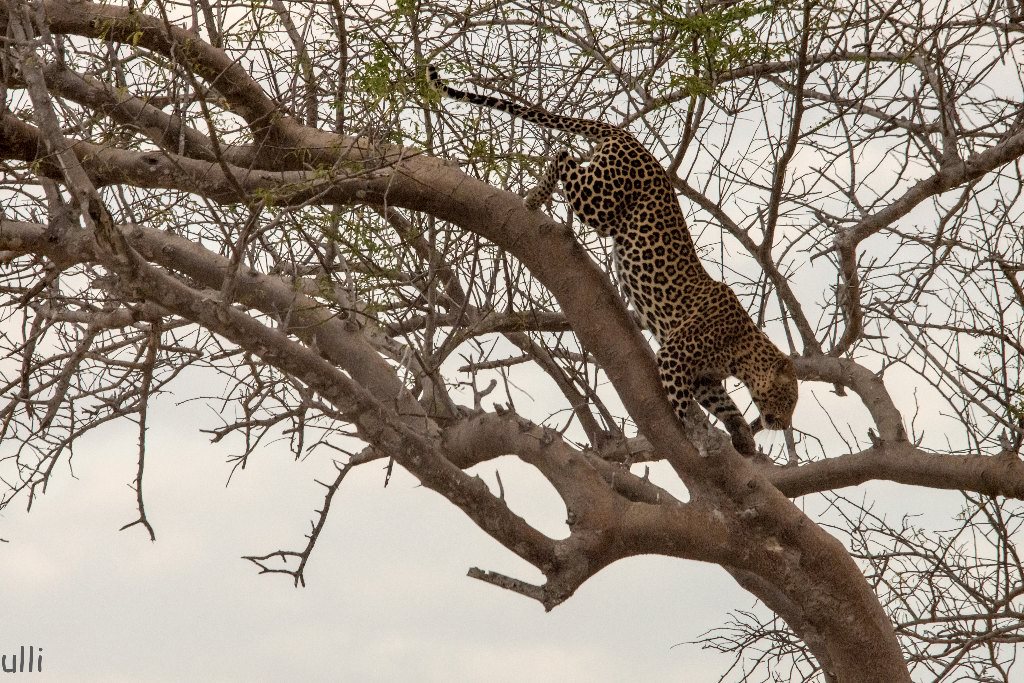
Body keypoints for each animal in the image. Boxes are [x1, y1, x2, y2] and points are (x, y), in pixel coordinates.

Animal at [428, 65, 794, 458]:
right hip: (600, 201)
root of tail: (629, 137)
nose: (785, 424)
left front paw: (742, 438)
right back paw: (534, 197)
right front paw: (702, 437)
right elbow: (685, 407)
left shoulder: (705, 378)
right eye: (790, 400)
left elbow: (726, 405)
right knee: (564, 155)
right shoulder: (674, 357)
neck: (743, 352)